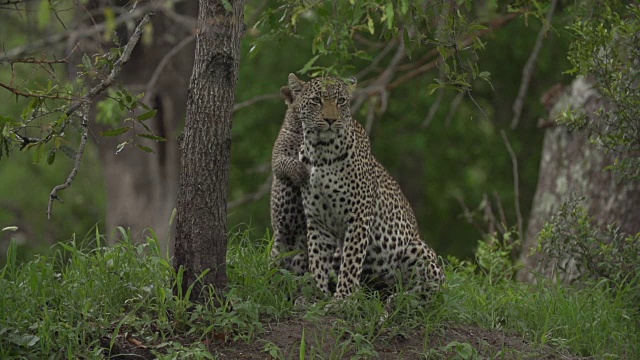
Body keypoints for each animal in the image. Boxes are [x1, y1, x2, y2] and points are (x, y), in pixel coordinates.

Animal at [290, 72, 444, 298]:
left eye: (341, 101)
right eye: (316, 100)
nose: (330, 120)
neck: (321, 152)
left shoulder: (359, 217)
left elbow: (350, 264)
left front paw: (342, 299)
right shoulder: (317, 220)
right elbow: (317, 260)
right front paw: (317, 295)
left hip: (416, 249)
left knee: (433, 289)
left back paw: (402, 298)